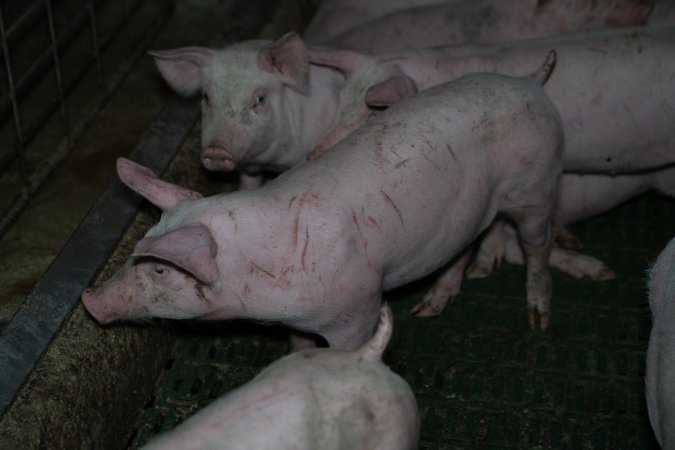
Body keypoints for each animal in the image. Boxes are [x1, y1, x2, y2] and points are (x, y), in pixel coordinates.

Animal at [82, 54, 563, 340]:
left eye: (161, 269)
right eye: (137, 252)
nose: (89, 300)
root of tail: (530, 82)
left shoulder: (360, 306)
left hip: (538, 185)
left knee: (537, 245)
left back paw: (538, 319)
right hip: (471, 208)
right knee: (466, 243)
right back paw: (429, 308)